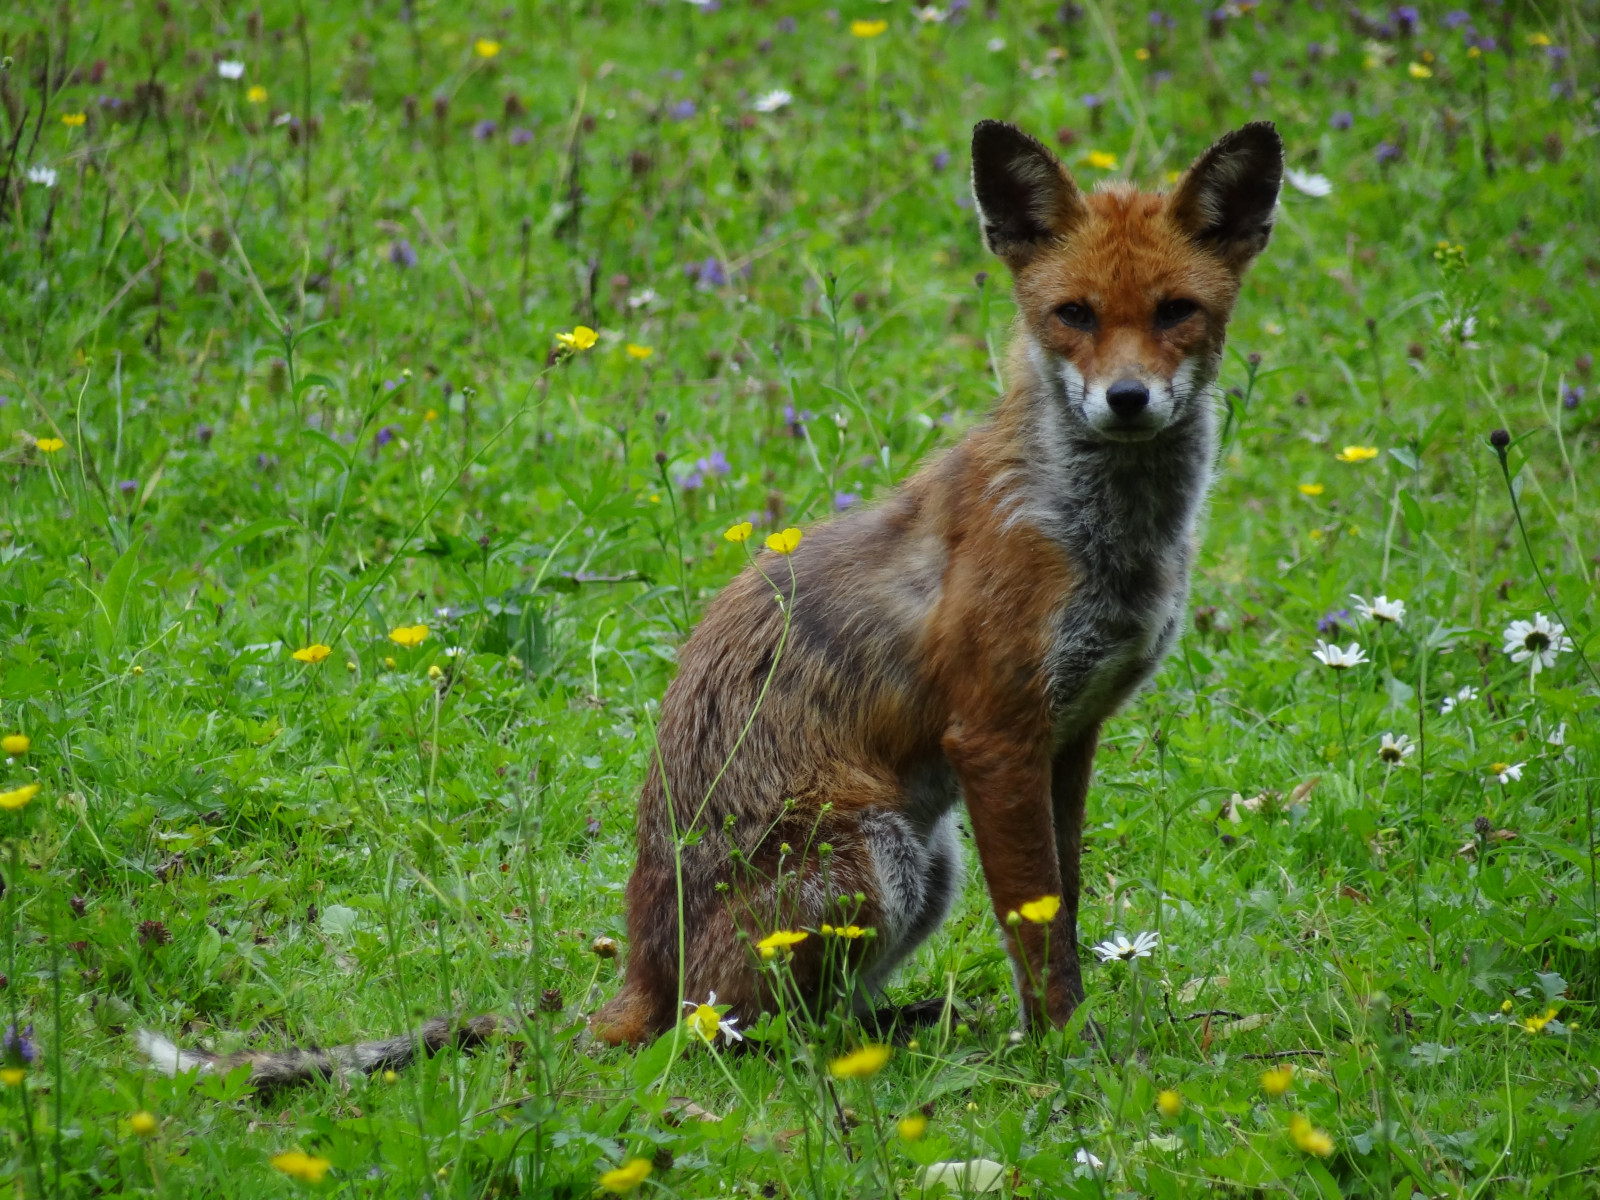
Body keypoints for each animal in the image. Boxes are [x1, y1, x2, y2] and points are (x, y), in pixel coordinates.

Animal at [136, 118, 1282, 1089]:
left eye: (1176, 313)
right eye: (1072, 316)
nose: (1126, 401)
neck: (1102, 534)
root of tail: (641, 970)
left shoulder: (1068, 735)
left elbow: (1067, 905)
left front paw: (1071, 1033)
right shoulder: (996, 733)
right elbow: (1038, 930)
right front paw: (1062, 1058)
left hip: (926, 861)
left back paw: (900, 1023)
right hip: (878, 858)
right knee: (722, 1034)